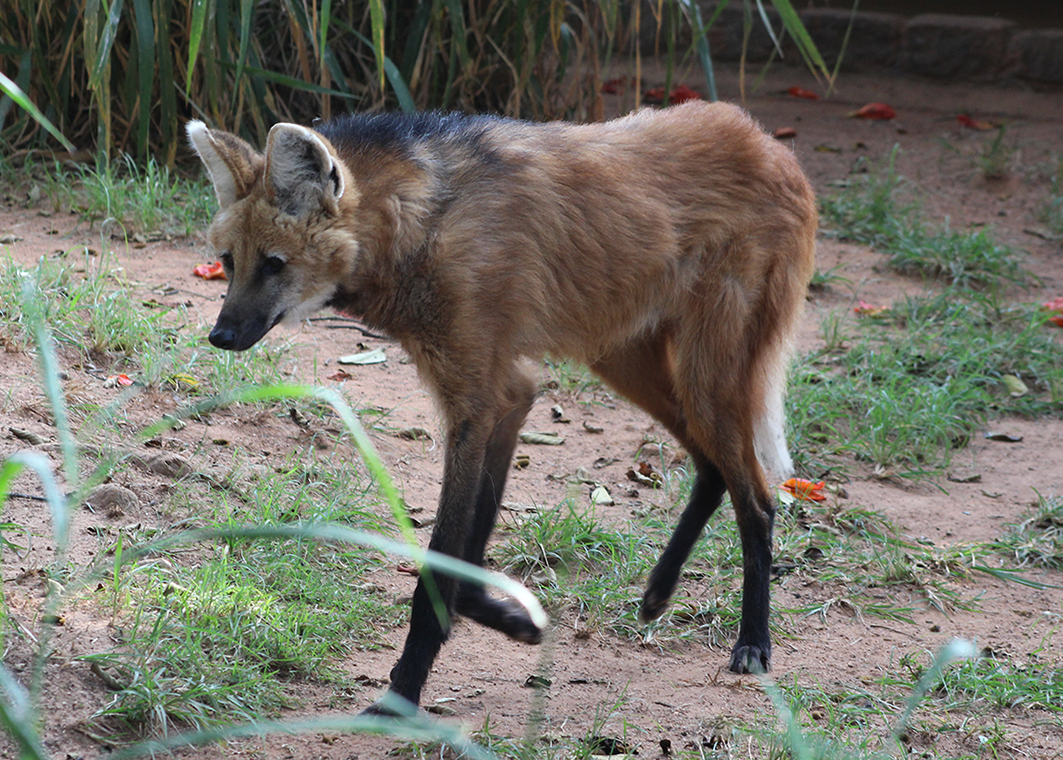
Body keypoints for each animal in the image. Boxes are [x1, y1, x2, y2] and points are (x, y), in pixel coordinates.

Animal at [187, 100, 816, 714]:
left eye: (275, 263)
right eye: (229, 261)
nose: (221, 335)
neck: (416, 226)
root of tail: (773, 147)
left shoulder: (478, 398)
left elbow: (442, 556)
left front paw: (401, 695)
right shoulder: (506, 396)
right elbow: (462, 561)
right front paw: (515, 621)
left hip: (705, 370)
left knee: (758, 497)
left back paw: (753, 642)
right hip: (621, 356)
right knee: (712, 467)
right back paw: (659, 592)